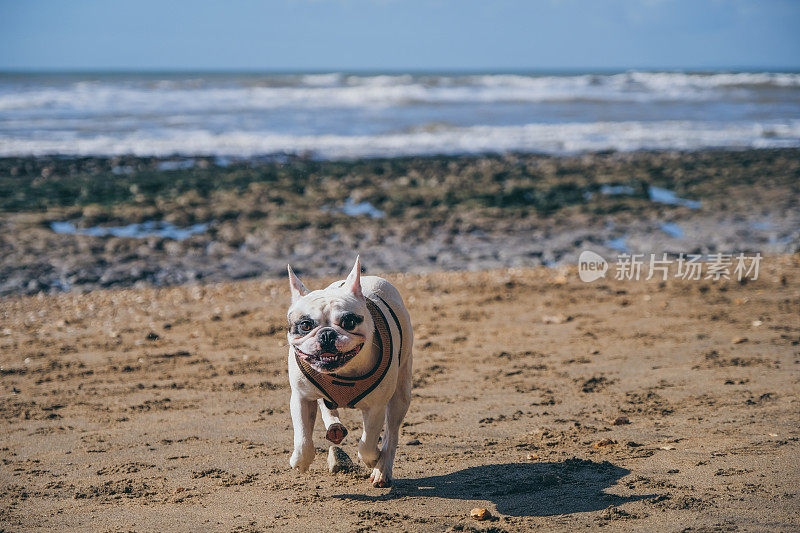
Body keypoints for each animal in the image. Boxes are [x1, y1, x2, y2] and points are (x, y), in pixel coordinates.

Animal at [286, 256, 412, 486]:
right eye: (306, 325)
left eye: (349, 322)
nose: (327, 334)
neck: (344, 372)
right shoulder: (301, 397)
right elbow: (303, 439)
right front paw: (301, 461)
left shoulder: (376, 407)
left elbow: (368, 443)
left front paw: (373, 459)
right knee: (326, 406)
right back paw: (334, 427)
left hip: (401, 392)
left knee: (391, 433)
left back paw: (382, 469)